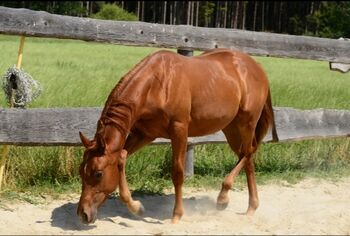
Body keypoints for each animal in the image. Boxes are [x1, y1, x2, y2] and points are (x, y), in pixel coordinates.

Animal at [77, 47, 278, 223]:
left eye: (98, 174)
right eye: (81, 171)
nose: (83, 214)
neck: (157, 84)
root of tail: (257, 67)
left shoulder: (179, 130)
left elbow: (178, 172)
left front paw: (176, 215)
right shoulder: (146, 133)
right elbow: (121, 156)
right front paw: (136, 207)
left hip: (247, 123)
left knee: (248, 153)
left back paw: (224, 198)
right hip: (231, 128)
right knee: (247, 158)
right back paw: (250, 206)